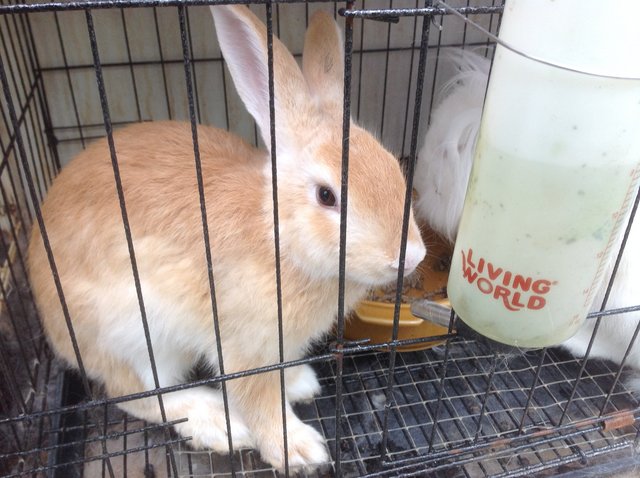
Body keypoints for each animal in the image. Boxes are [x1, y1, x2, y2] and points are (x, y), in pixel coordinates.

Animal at [26, 5, 424, 472]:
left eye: (392, 165)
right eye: (327, 196)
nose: (411, 255)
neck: (276, 233)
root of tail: (53, 327)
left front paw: (300, 382)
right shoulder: (242, 347)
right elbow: (258, 401)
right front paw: (299, 450)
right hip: (134, 334)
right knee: (137, 395)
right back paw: (216, 423)